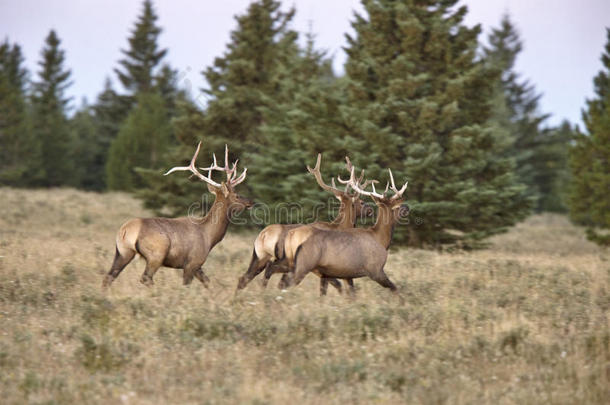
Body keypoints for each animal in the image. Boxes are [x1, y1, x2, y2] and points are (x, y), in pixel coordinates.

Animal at [101, 142, 252, 288]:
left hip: (123, 252)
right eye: (237, 195)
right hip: (156, 254)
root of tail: (125, 230)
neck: (209, 236)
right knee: (145, 278)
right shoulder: (192, 262)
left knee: (109, 276)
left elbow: (208, 282)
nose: (250, 201)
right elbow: (187, 285)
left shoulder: (197, 267)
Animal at [235, 153, 372, 296]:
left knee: (244, 278)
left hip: (259, 257)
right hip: (285, 260)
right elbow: (332, 287)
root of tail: (263, 236)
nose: (370, 210)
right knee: (270, 274)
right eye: (361, 202)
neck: (340, 226)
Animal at [282, 164, 408, 294]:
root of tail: (290, 235)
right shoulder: (374, 269)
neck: (379, 238)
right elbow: (394, 288)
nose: (406, 207)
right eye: (362, 202)